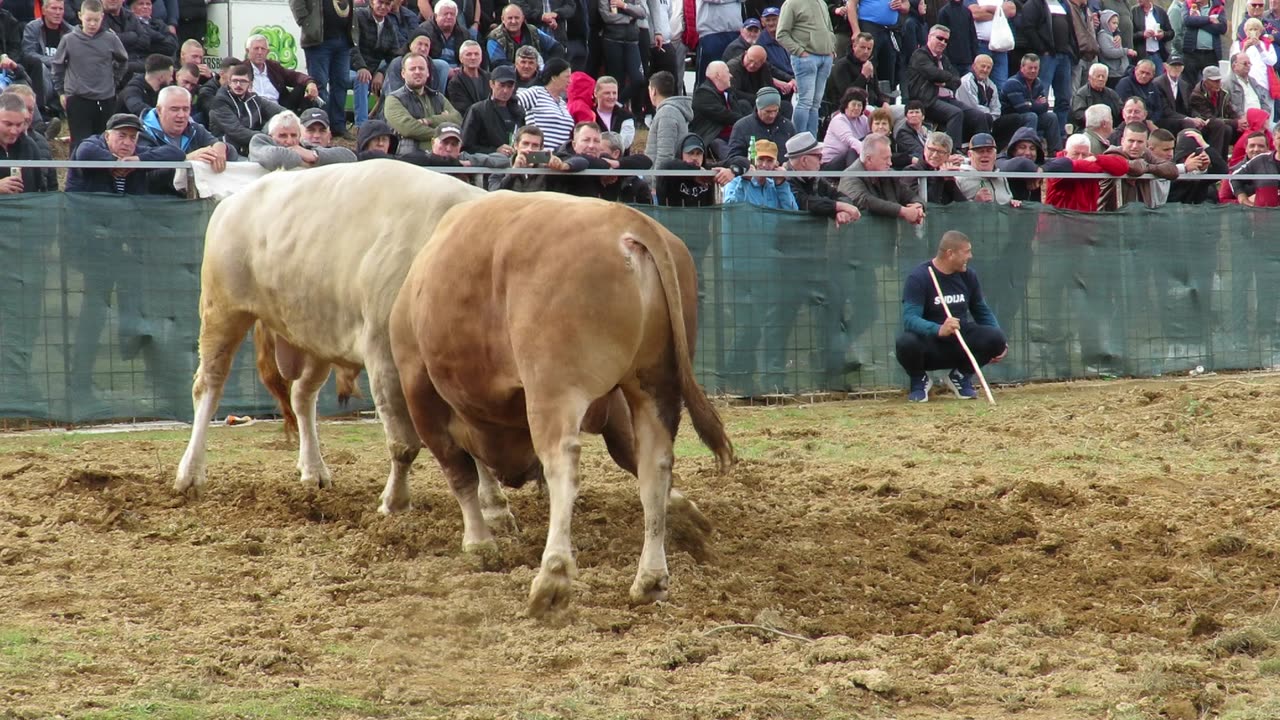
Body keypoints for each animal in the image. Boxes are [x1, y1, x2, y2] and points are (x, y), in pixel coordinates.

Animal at [174, 158, 509, 520]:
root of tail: (235, 200)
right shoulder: (383, 356)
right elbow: (404, 444)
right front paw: (395, 502)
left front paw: (495, 506)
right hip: (222, 312)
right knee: (208, 386)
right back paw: (190, 474)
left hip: (316, 333)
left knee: (301, 396)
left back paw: (313, 470)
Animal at [386, 192, 732, 617]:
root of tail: (626, 222)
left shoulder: (421, 392)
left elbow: (460, 474)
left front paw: (480, 543)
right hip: (651, 386)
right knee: (655, 465)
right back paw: (649, 579)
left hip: (553, 390)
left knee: (562, 465)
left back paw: (552, 577)